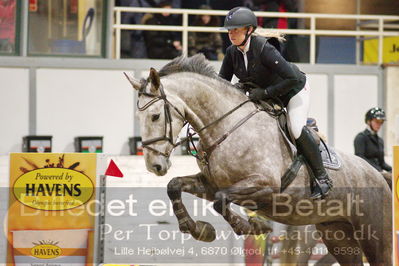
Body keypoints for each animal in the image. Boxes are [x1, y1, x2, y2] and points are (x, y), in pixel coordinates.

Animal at [126, 54, 394, 266]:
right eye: (139, 118)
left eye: (155, 116)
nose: (154, 166)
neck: (227, 126)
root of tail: (378, 176)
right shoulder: (211, 185)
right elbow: (175, 186)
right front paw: (200, 230)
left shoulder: (265, 186)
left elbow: (221, 201)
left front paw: (251, 227)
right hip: (337, 233)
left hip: (374, 235)